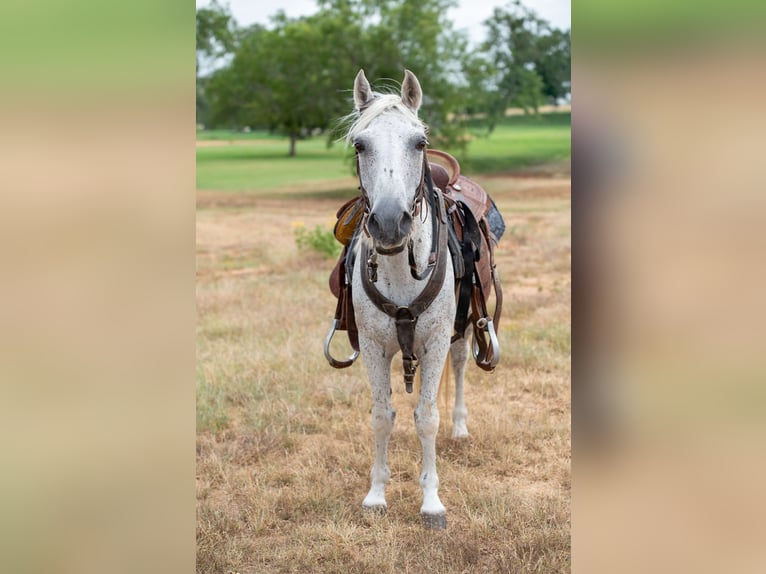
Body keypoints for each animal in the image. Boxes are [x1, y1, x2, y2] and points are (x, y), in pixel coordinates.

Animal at [340, 69, 477, 530]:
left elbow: (426, 418)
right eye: (359, 144)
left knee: (460, 366)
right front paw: (376, 495)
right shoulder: (372, 346)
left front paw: (432, 501)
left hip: (461, 330)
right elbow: (383, 417)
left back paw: (460, 428)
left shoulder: (435, 342)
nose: (387, 222)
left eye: (419, 142)